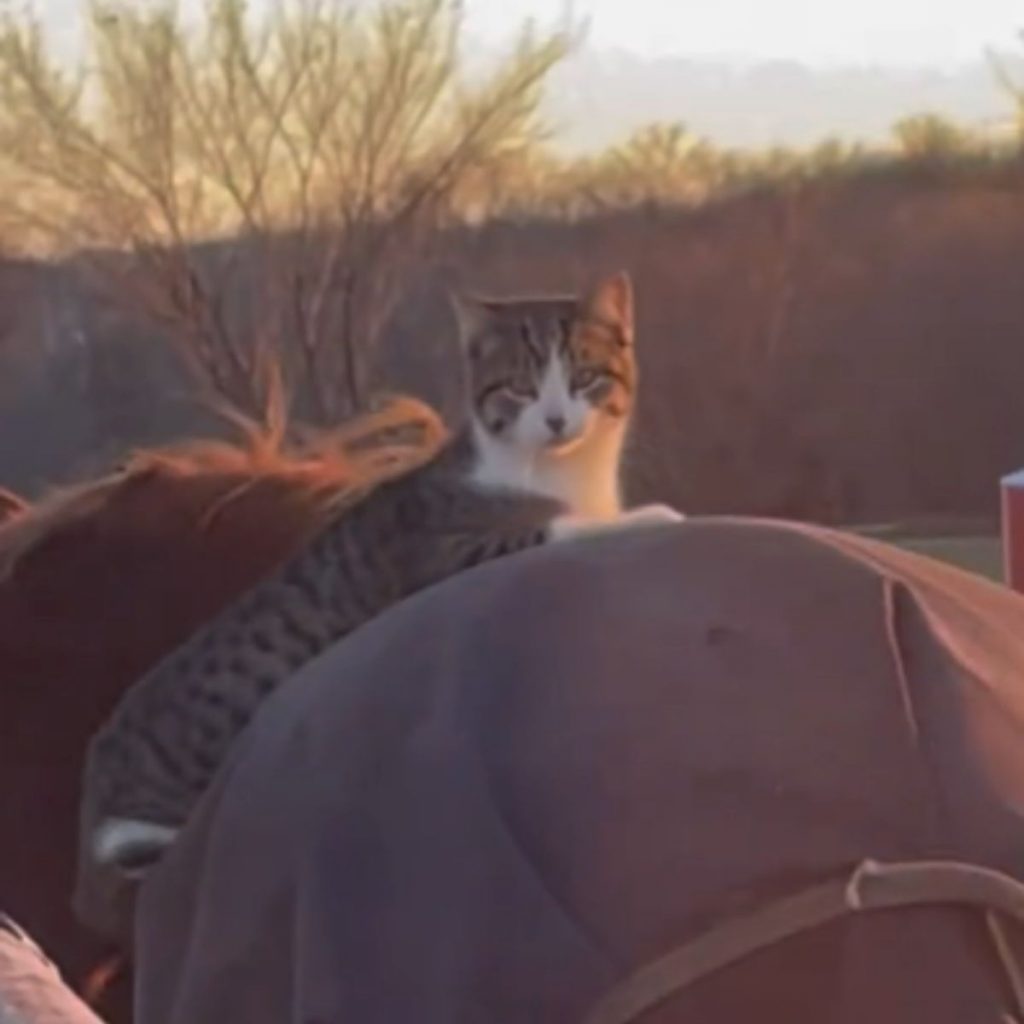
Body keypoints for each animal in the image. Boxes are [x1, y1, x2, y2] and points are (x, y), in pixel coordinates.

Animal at [72, 268, 679, 917]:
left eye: (585, 377)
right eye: (520, 387)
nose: (557, 419)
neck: (565, 472)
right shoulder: (445, 553)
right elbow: (557, 528)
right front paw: (653, 514)